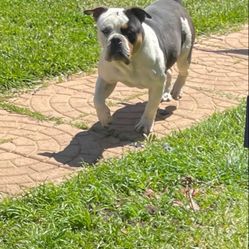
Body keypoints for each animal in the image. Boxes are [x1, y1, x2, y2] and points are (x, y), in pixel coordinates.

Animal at [84, 0, 195, 133]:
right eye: (105, 31)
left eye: (129, 31)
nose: (115, 39)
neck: (130, 61)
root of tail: (175, 2)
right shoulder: (106, 80)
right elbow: (97, 100)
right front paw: (105, 117)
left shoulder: (156, 84)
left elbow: (151, 106)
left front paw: (145, 124)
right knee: (169, 73)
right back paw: (166, 93)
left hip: (184, 54)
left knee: (184, 72)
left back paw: (176, 90)